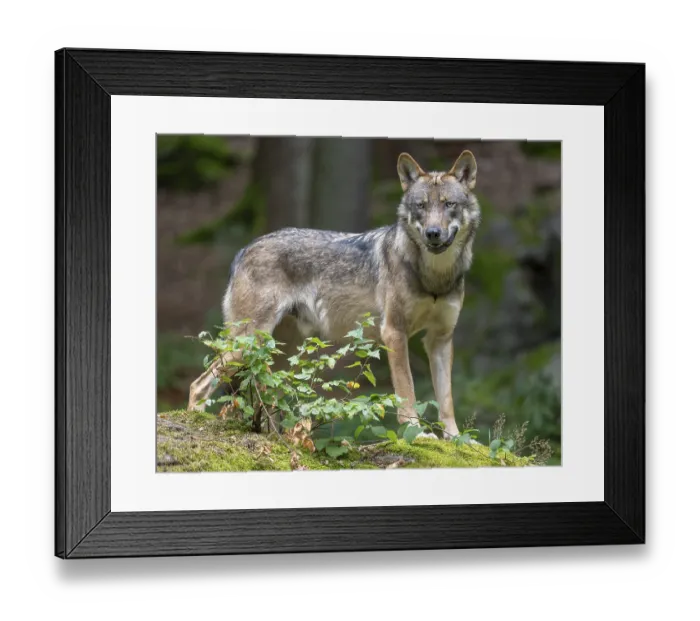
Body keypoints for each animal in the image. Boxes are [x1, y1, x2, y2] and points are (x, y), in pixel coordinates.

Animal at [188, 150, 481, 438]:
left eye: (449, 204)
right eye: (421, 206)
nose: (433, 233)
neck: (435, 277)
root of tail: (244, 249)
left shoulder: (440, 339)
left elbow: (446, 398)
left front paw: (456, 439)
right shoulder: (394, 333)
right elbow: (406, 391)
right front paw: (416, 433)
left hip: (280, 353)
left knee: (268, 395)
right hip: (249, 343)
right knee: (199, 385)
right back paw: (195, 421)